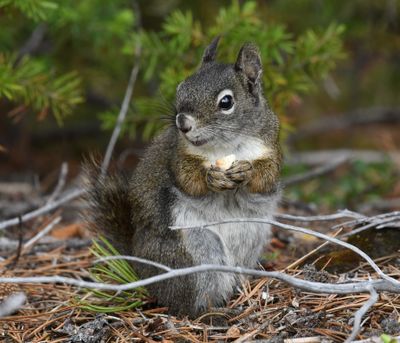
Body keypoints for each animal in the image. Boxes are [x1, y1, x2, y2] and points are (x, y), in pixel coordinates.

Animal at [85, 36, 282, 318]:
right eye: (181, 88)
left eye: (226, 102)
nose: (182, 123)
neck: (226, 145)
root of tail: (144, 271)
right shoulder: (178, 156)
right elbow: (188, 179)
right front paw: (211, 178)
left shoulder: (270, 146)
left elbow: (267, 176)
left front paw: (248, 171)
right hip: (194, 256)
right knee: (187, 303)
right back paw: (212, 313)